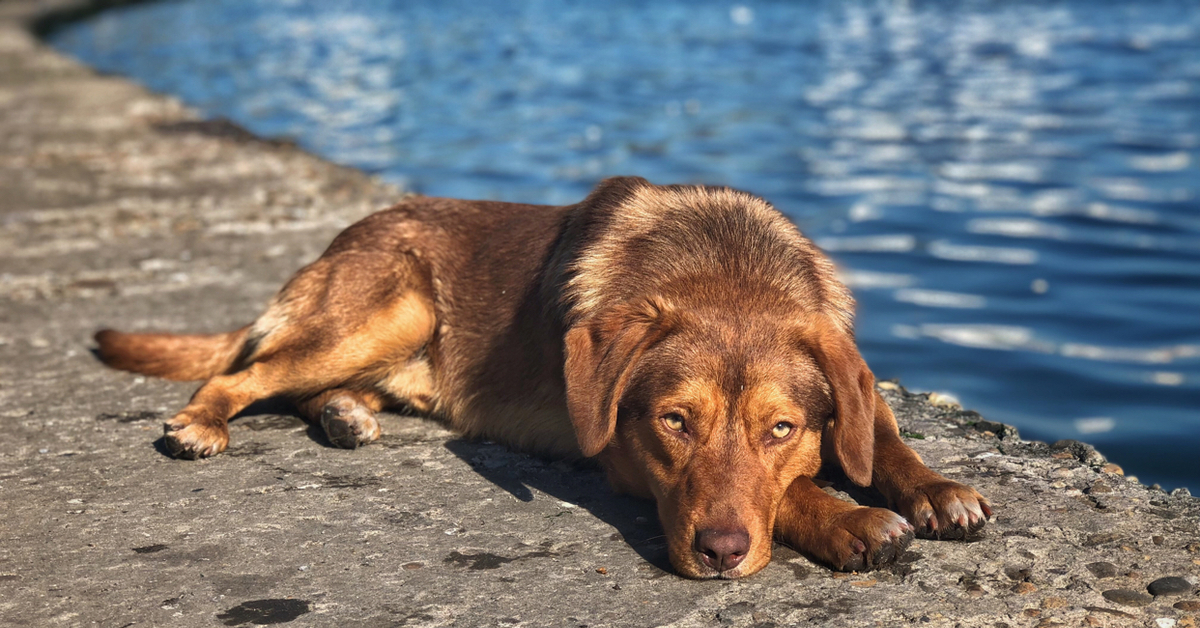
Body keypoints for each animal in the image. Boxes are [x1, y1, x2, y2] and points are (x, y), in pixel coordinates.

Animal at [98, 176, 988, 581]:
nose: (719, 554)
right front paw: (849, 517)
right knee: (249, 371)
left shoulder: (850, 383)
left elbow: (882, 440)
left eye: (782, 428)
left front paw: (935, 490)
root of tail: (337, 240)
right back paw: (200, 423)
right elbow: (797, 491)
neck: (727, 272)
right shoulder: (620, 455)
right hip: (392, 308)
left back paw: (345, 415)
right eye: (674, 422)